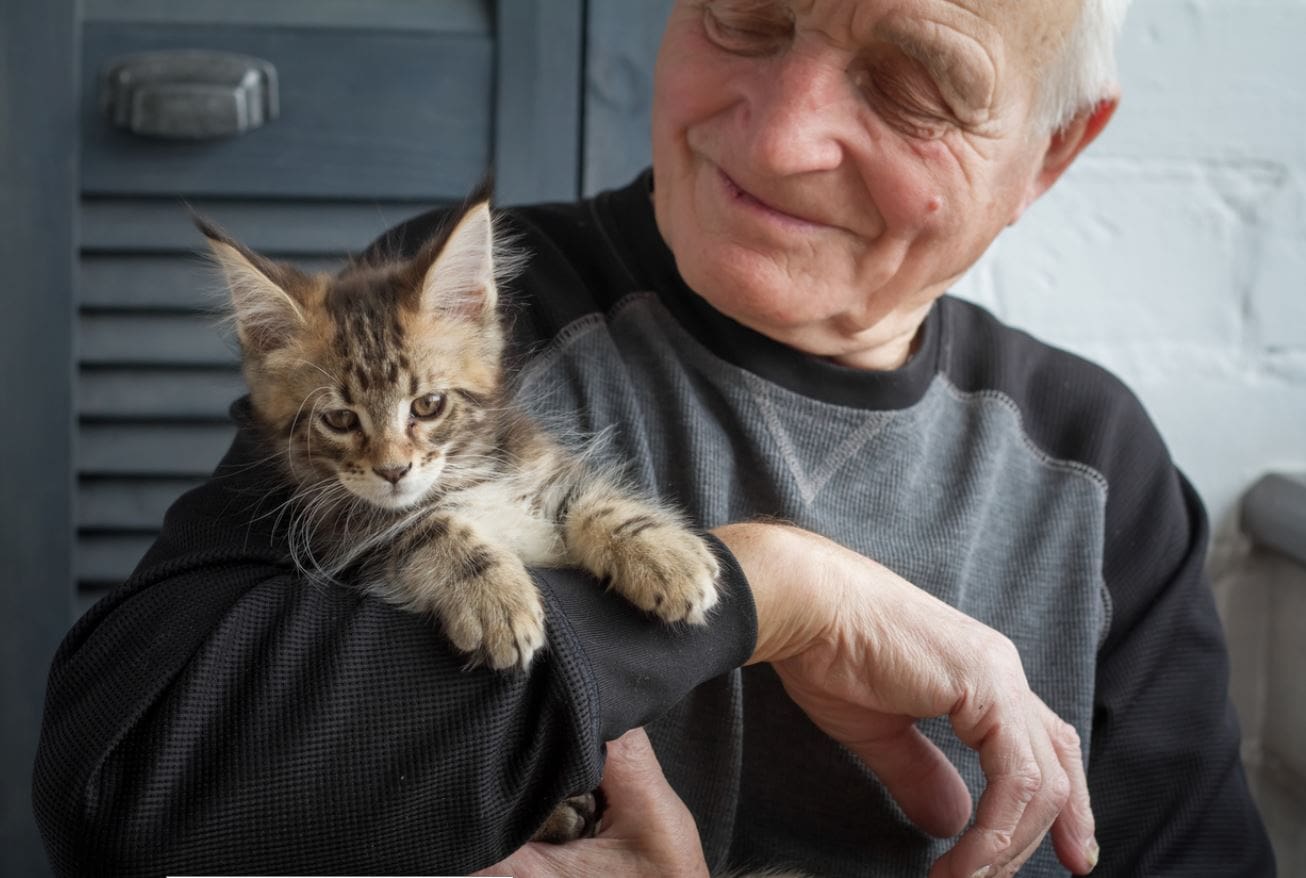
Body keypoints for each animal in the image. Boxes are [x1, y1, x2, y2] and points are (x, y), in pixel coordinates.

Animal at [198, 198, 720, 668]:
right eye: (340, 420)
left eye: (428, 406)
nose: (393, 470)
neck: (461, 477)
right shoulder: (351, 538)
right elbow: (428, 527)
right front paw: (492, 596)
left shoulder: (536, 459)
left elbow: (588, 496)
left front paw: (662, 553)